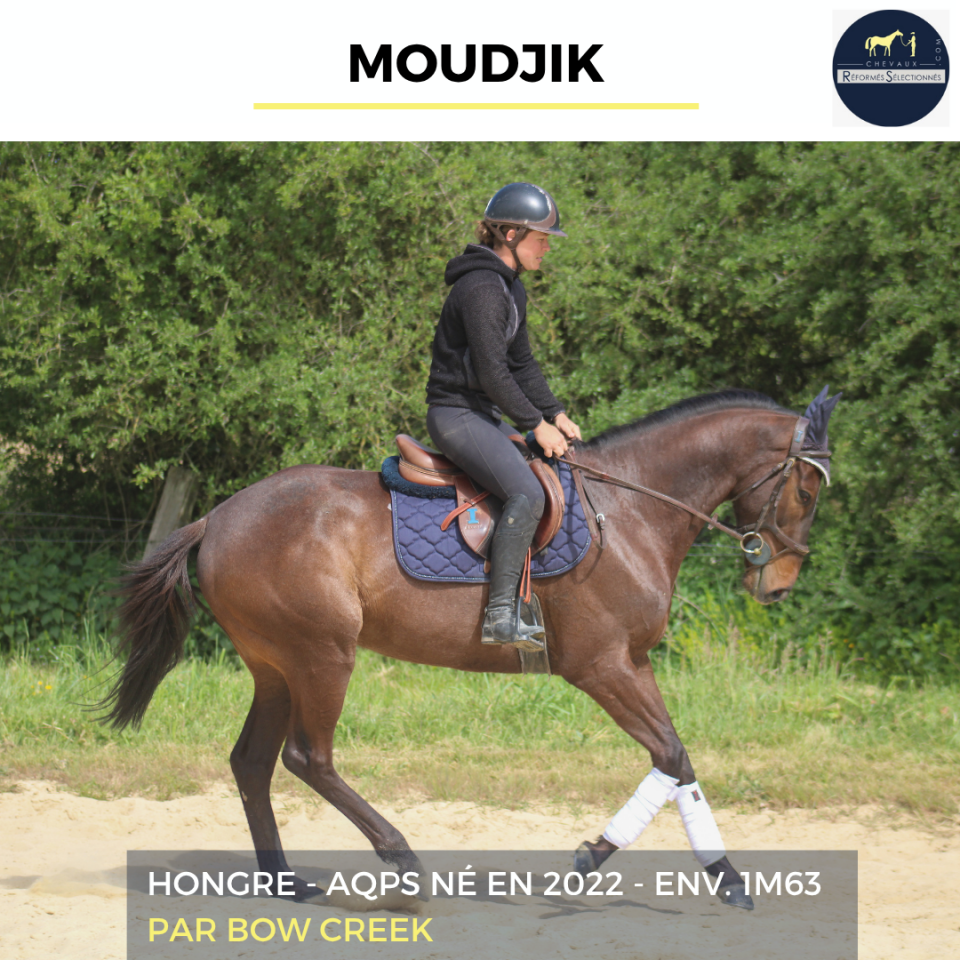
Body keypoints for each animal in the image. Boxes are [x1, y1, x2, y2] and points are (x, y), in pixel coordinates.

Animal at [101, 388, 838, 908]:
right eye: (806, 489)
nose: (778, 585)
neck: (629, 511)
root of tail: (216, 517)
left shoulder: (633, 663)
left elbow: (677, 759)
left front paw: (719, 875)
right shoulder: (602, 666)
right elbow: (671, 754)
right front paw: (602, 859)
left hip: (275, 667)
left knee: (252, 763)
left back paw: (286, 882)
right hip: (321, 657)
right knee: (308, 759)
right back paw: (401, 861)